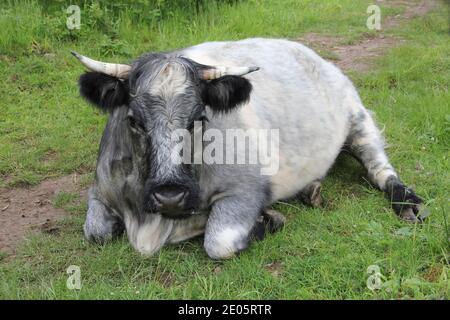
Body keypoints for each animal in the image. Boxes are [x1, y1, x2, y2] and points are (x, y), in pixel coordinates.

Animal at [72, 38, 424, 260]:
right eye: (134, 120)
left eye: (199, 118)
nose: (170, 195)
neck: (149, 224)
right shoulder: (100, 190)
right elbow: (96, 231)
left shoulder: (245, 190)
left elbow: (218, 241)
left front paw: (267, 219)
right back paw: (309, 190)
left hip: (358, 119)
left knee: (379, 167)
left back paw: (406, 201)